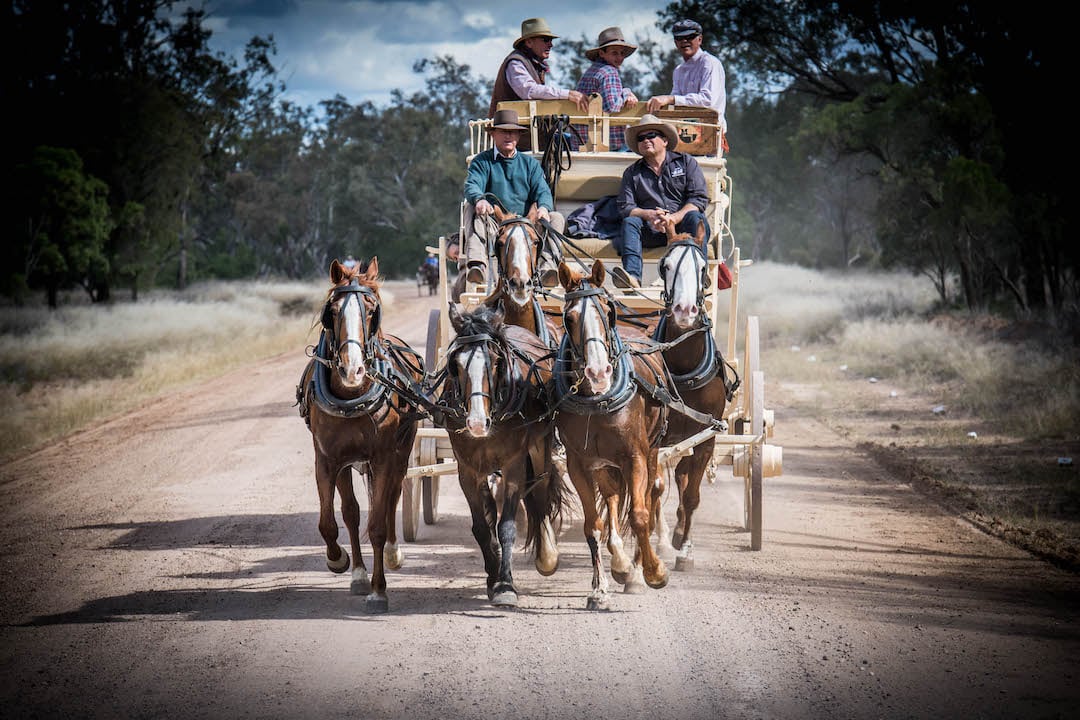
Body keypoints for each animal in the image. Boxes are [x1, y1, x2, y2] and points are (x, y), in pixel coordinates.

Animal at [300, 255, 429, 613]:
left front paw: (378, 591)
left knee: (392, 498)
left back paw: (393, 553)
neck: (352, 394)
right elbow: (332, 521)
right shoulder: (327, 460)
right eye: (332, 311)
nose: (352, 369)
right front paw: (340, 562)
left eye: (372, 310)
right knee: (352, 512)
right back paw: (358, 573)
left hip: (401, 454)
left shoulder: (384, 458)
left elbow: (378, 524)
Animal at [436, 302, 565, 604]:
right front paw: (493, 576)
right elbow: (482, 528)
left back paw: (546, 555)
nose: (476, 423)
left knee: (541, 490)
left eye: (496, 362)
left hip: (539, 447)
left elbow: (506, 526)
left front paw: (506, 585)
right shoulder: (467, 470)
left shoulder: (513, 465)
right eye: (456, 365)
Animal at [552, 259, 669, 608]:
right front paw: (599, 588)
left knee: (649, 497)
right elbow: (593, 525)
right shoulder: (579, 464)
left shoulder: (635, 457)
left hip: (651, 451)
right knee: (614, 497)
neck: (597, 397)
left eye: (607, 310)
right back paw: (620, 563)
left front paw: (653, 572)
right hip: (604, 464)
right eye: (568, 318)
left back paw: (638, 565)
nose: (598, 372)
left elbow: (641, 516)